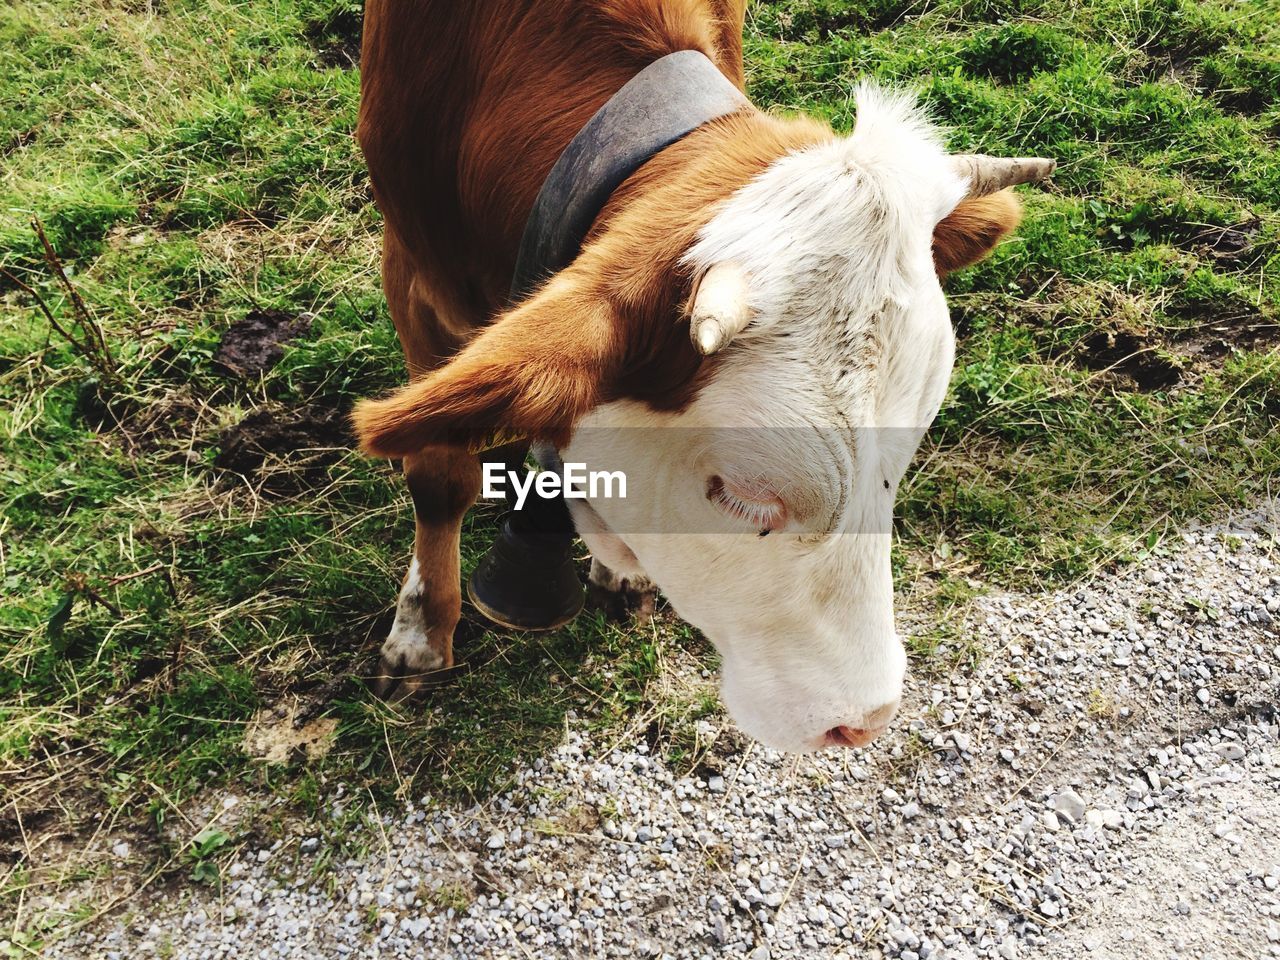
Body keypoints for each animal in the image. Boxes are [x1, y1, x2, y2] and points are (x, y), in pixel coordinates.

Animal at [350, 0, 1049, 752]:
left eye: (905, 452)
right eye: (740, 495)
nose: (866, 719)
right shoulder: (411, 274)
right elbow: (439, 474)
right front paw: (421, 631)